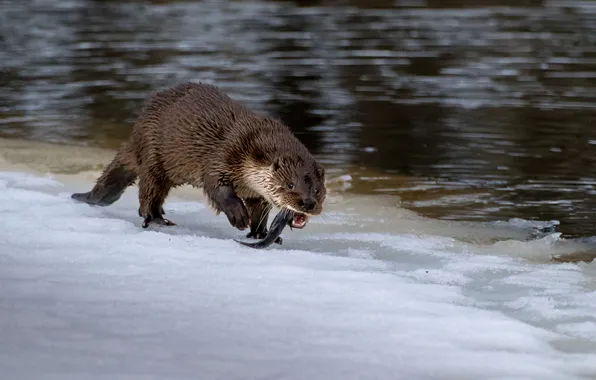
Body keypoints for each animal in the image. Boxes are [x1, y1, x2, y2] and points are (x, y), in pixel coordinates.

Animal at [73, 81, 330, 245]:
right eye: (290, 185)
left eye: (318, 190)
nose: (308, 203)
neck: (251, 146)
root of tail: (137, 131)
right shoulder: (223, 156)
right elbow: (217, 188)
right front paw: (239, 216)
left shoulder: (255, 190)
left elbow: (259, 209)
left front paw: (261, 234)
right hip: (153, 156)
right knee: (148, 193)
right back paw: (156, 219)